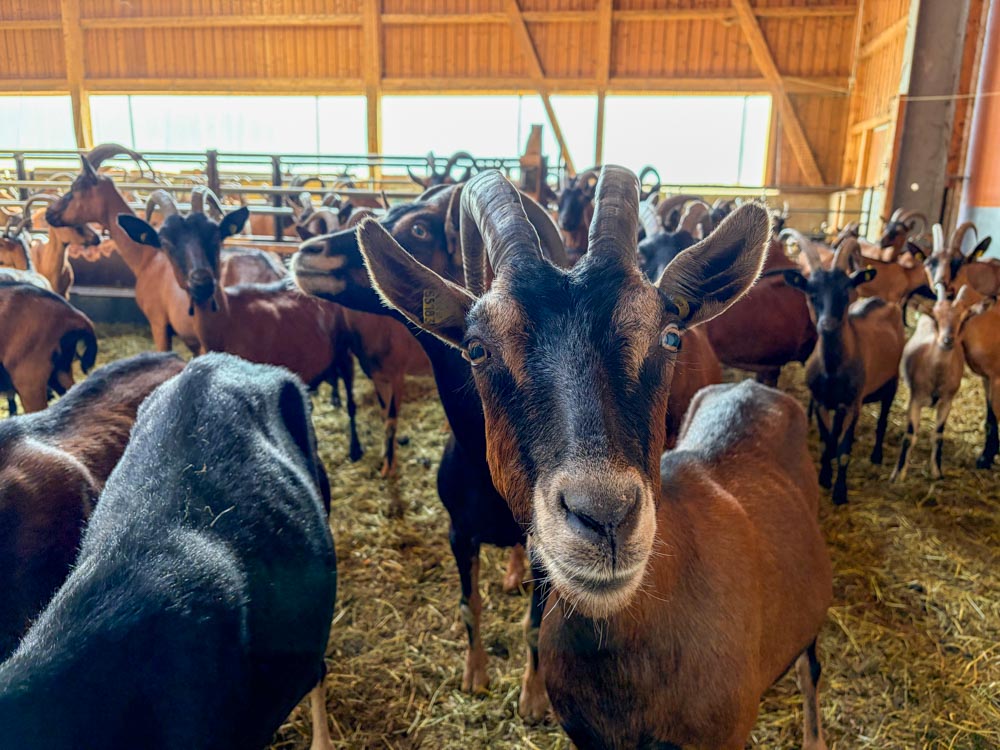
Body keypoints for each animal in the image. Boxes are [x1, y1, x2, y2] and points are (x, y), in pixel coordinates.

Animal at [783, 237, 904, 504]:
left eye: (844, 291)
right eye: (812, 293)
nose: (827, 325)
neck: (832, 371)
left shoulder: (852, 404)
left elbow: (844, 450)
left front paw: (840, 492)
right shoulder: (821, 401)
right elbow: (827, 441)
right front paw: (825, 478)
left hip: (891, 382)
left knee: (882, 420)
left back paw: (876, 456)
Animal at [892, 285, 992, 481]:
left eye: (965, 318)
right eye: (935, 316)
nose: (947, 340)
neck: (936, 377)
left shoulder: (946, 402)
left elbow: (938, 435)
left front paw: (937, 472)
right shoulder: (916, 400)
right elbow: (910, 435)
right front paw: (898, 474)